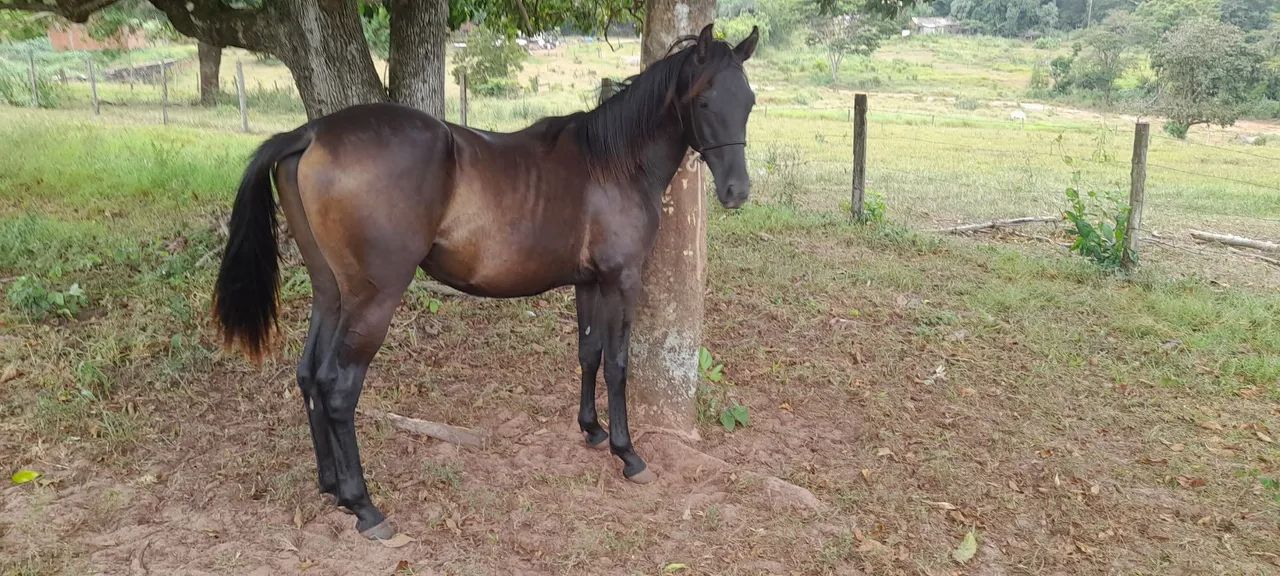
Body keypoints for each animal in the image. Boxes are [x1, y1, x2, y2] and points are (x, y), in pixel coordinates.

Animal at [212, 23, 758, 540]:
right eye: (705, 100)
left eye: (749, 101)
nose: (737, 191)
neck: (612, 162)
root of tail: (312, 133)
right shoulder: (622, 281)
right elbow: (618, 364)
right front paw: (628, 453)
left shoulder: (589, 282)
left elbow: (589, 354)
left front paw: (592, 431)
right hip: (372, 300)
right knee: (338, 388)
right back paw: (364, 506)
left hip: (330, 293)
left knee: (308, 374)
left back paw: (330, 485)